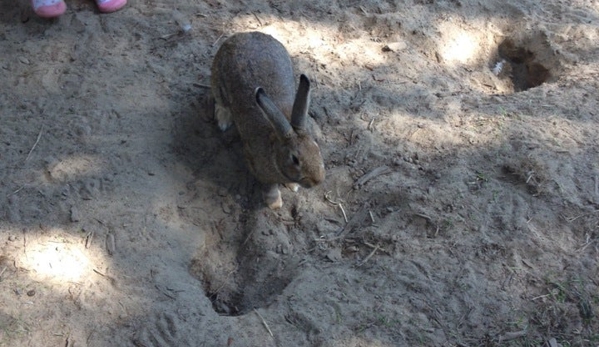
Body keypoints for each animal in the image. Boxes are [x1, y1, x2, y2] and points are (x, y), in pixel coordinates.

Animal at [210, 32, 324, 209]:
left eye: (316, 147)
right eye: (295, 159)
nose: (317, 181)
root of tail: (243, 35)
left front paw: (293, 187)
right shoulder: (258, 168)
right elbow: (269, 186)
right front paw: (274, 203)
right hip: (217, 78)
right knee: (220, 101)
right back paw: (223, 121)